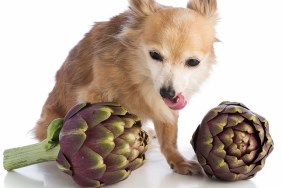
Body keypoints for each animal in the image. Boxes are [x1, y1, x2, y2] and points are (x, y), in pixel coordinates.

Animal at [33, 0, 218, 176]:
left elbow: (169, 138)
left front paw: (178, 161)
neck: (140, 75)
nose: (167, 92)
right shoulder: (93, 95)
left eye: (193, 62)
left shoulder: (166, 106)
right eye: (154, 55)